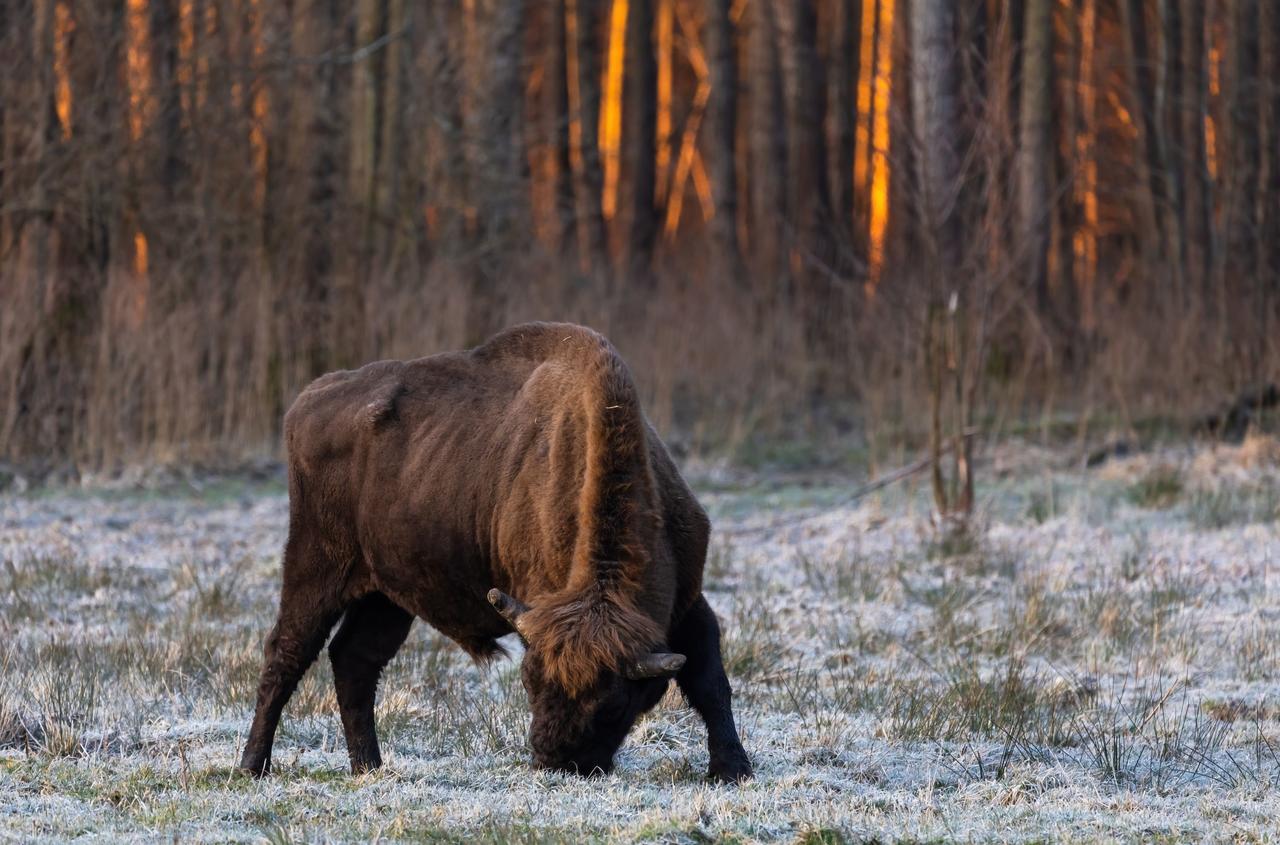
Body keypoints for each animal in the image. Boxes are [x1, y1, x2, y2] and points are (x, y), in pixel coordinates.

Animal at [240, 321, 747, 778]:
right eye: (530, 682)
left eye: (613, 702)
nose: (553, 759)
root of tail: (308, 399)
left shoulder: (687, 603)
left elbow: (710, 681)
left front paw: (732, 769)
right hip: (314, 567)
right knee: (286, 654)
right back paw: (253, 765)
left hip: (385, 595)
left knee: (354, 660)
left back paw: (368, 766)